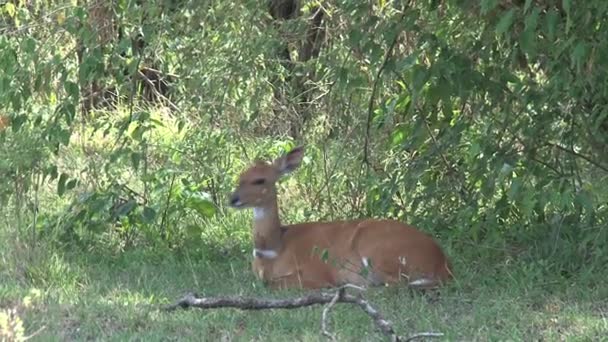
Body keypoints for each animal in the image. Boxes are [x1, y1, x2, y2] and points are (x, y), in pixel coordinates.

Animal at [230, 146, 454, 290]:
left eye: (260, 180)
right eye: (240, 177)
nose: (232, 199)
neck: (275, 249)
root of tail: (442, 264)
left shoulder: (317, 271)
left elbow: (273, 284)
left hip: (377, 251)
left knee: (393, 284)